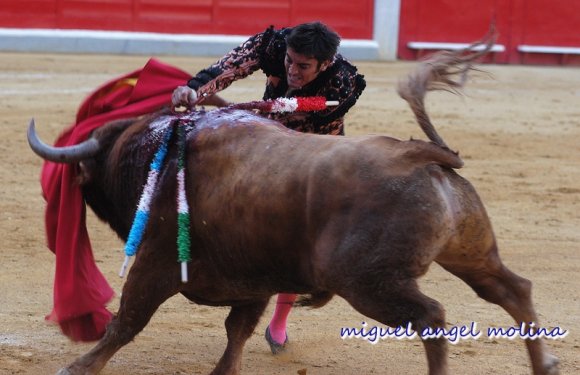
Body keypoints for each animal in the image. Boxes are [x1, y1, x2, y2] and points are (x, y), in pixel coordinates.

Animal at [27, 44, 556, 375]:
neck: (160, 149)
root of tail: (419, 154)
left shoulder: (157, 261)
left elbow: (127, 321)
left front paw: (76, 366)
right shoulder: (252, 277)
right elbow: (236, 331)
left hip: (369, 282)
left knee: (431, 317)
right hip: (471, 252)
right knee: (512, 289)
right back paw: (544, 363)